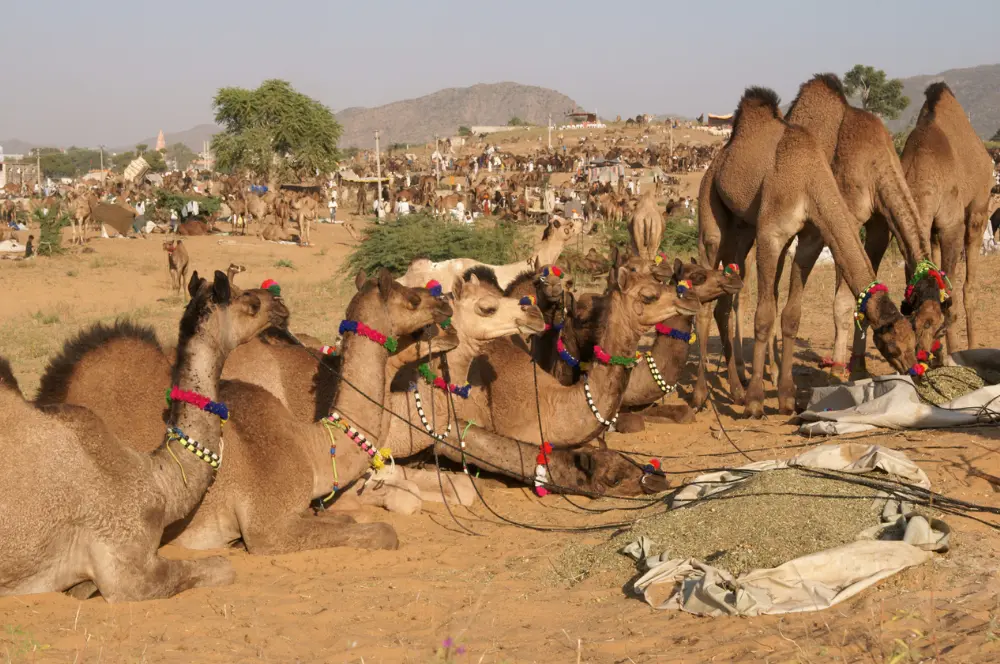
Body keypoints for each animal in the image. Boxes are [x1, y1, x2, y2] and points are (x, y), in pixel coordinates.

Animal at [696, 86, 917, 417]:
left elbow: (791, 315)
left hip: (742, 230)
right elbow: (764, 316)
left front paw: (787, 398)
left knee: (723, 302)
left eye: (914, 341)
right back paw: (701, 396)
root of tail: (717, 161)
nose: (914, 369)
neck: (809, 178)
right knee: (704, 298)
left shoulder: (811, 239)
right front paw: (756, 401)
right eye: (893, 345)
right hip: (710, 211)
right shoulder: (771, 235)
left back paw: (735, 390)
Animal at [901, 83, 995, 352]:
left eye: (935, 325)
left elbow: (950, 293)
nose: (922, 354)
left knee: (969, 285)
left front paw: (954, 350)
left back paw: (972, 345)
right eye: (911, 325)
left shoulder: (952, 226)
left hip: (978, 210)